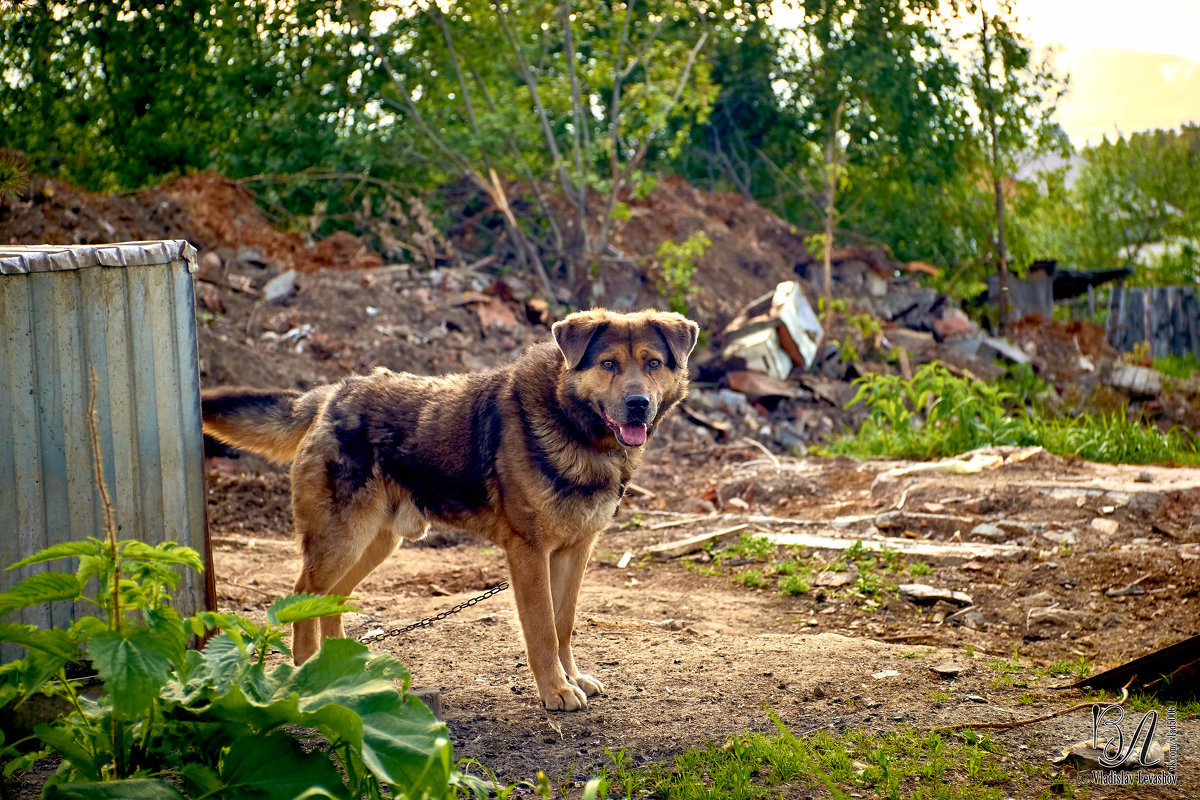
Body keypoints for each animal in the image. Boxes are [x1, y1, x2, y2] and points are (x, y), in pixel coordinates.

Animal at [201, 309, 700, 710]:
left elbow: (564, 625)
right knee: (304, 595)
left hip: (374, 543)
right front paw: (556, 691)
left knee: (330, 599)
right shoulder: (529, 553)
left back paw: (341, 671)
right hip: (341, 539)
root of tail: (331, 395)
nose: (638, 405)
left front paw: (571, 678)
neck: (574, 425)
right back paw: (307, 673)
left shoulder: (574, 552)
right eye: (608, 364)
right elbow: (542, 630)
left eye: (652, 364)